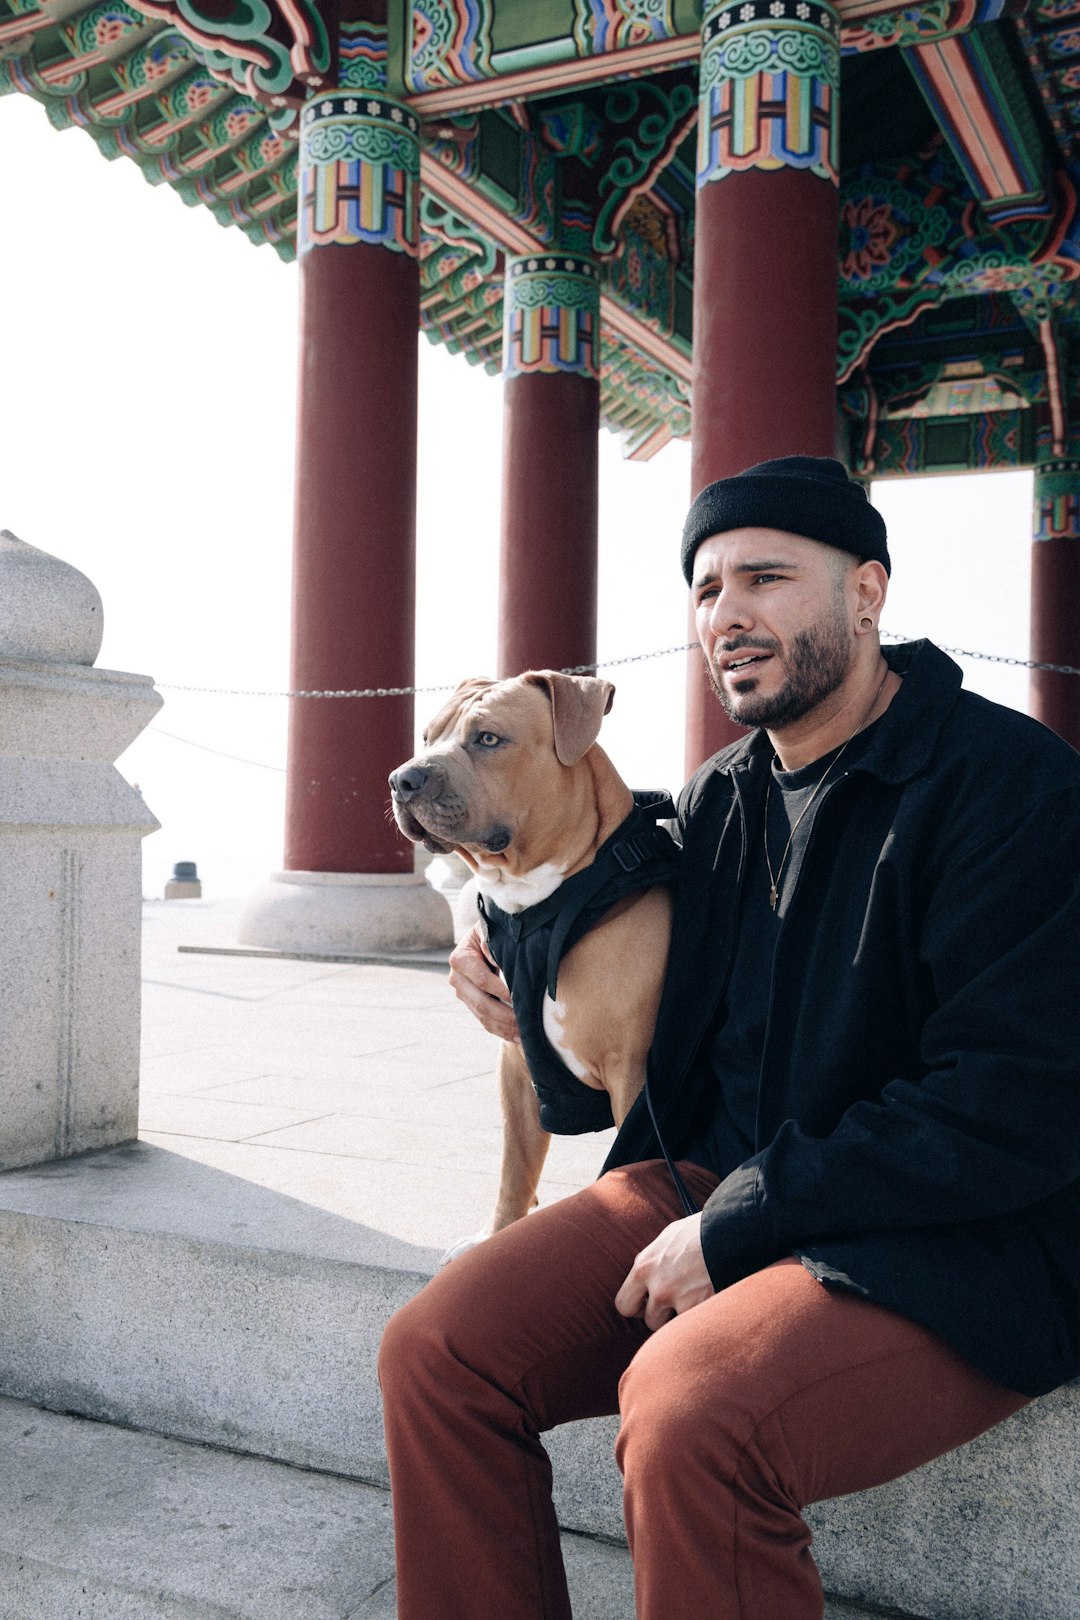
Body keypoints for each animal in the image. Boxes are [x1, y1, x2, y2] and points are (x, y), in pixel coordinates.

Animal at [388, 664, 676, 1257]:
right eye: (427, 737)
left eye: (488, 739)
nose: (402, 779)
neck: (537, 907)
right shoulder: (518, 1067)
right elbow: (515, 1166)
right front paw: (496, 1235)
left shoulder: (634, 1076)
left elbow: (627, 1173)